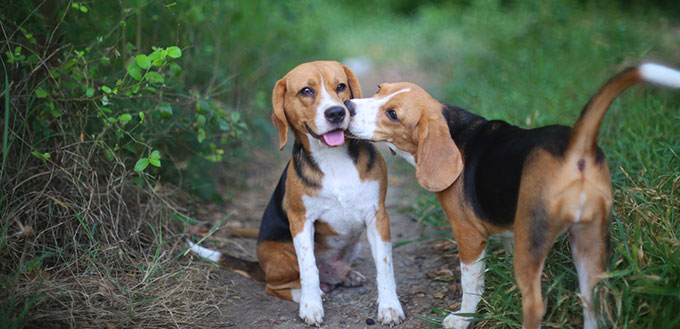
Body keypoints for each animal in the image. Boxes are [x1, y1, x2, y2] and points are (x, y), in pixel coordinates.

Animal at [189, 60, 404, 324]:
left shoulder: (377, 216)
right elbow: (309, 267)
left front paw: (389, 306)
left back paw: (347, 276)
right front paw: (310, 305)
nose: (336, 113)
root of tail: (260, 266)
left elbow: (385, 266)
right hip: (282, 255)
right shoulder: (301, 220)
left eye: (341, 86)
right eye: (306, 91)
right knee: (275, 286)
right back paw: (305, 293)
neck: (333, 158)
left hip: (355, 246)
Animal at [346, 62, 680, 328]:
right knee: (593, 301)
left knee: (535, 305)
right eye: (378, 89)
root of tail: (576, 145)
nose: (347, 106)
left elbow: (471, 283)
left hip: (534, 240)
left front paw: (463, 318)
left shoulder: (468, 235)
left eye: (392, 114)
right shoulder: (508, 226)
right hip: (591, 242)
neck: (454, 131)